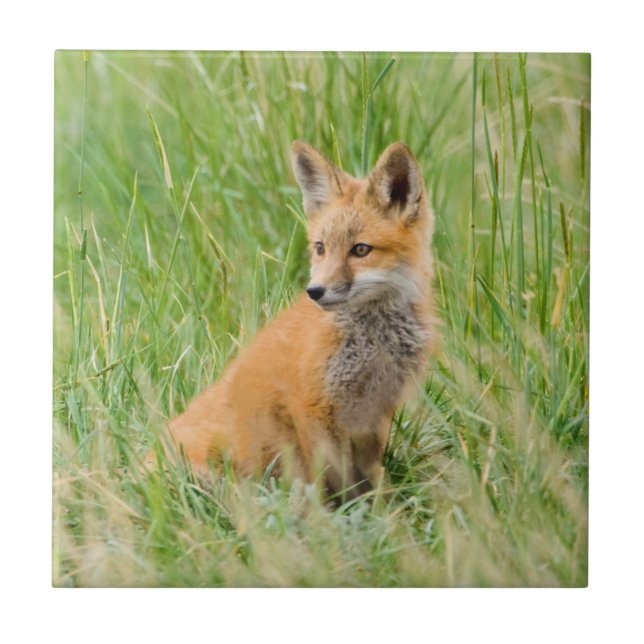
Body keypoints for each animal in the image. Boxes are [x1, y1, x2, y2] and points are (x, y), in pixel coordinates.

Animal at [150, 141, 436, 499]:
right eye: (320, 248)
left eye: (360, 250)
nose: (315, 291)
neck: (373, 343)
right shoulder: (311, 406)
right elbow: (334, 480)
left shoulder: (376, 413)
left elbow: (371, 478)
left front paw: (385, 507)